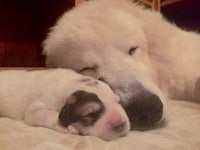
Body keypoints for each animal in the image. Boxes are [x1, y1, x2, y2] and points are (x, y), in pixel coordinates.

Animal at [0, 68, 130, 141]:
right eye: (90, 113)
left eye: (119, 101)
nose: (120, 124)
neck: (69, 83)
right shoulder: (35, 109)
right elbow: (45, 113)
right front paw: (65, 126)